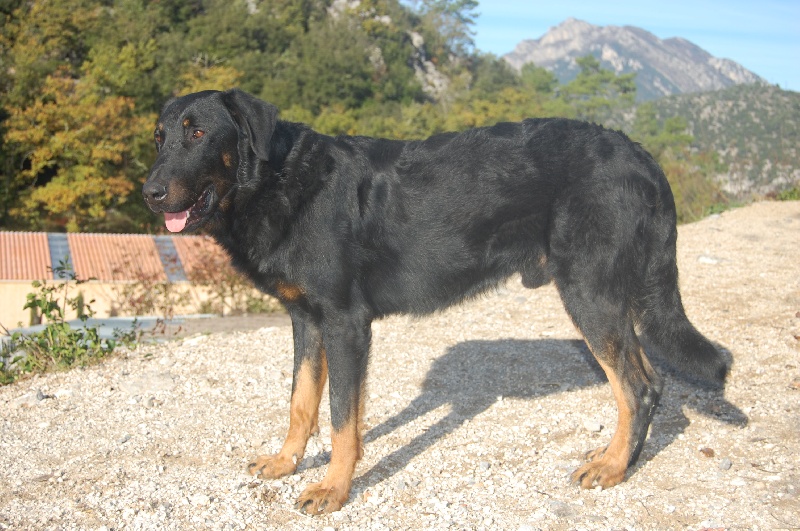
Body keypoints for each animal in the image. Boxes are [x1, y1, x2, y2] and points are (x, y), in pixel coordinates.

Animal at [144, 89, 728, 514]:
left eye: (198, 133)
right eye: (159, 138)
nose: (149, 193)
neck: (280, 177)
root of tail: (641, 154)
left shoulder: (345, 325)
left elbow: (341, 419)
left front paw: (334, 489)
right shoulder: (306, 322)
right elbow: (301, 402)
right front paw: (287, 462)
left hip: (591, 296)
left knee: (638, 386)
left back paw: (614, 467)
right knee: (648, 380)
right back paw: (621, 458)